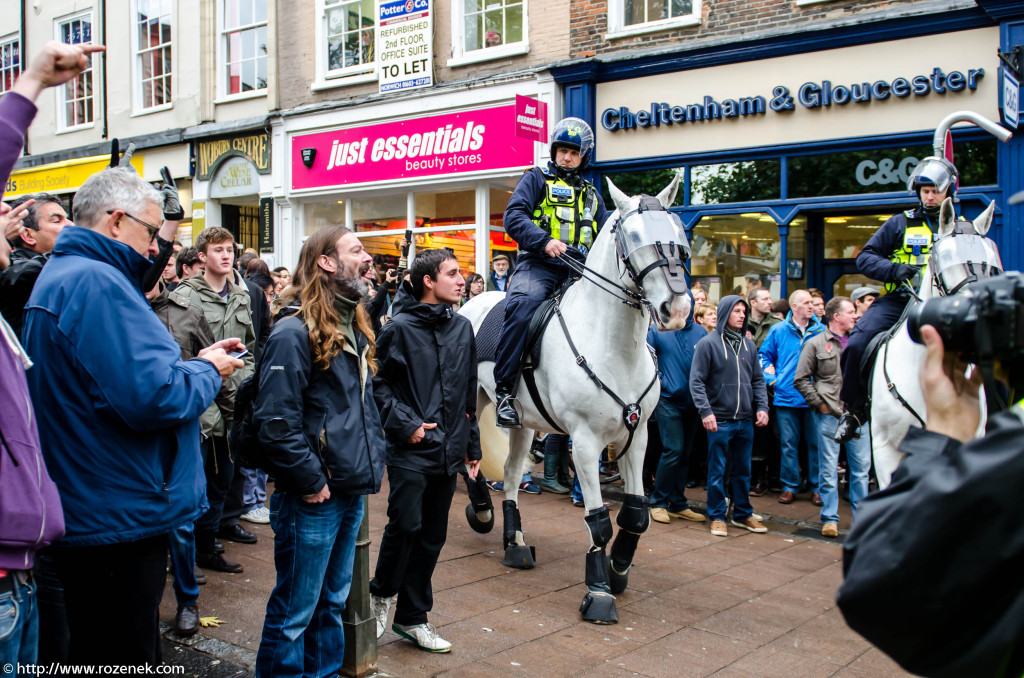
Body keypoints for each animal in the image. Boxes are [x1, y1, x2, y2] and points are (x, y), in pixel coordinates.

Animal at [460, 176, 692, 626]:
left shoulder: (636, 437)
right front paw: (599, 592)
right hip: (469, 402)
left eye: (678, 235)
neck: (612, 345)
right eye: (632, 236)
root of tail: (468, 302)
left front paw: (619, 569)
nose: (677, 309)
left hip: (522, 423)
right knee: (464, 458)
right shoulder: (584, 443)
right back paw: (481, 513)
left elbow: (636, 513)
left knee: (511, 474)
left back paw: (515, 543)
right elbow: (598, 521)